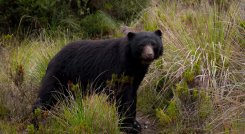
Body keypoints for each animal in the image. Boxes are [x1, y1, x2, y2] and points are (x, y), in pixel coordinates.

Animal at [32, 29, 163, 133]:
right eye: (141, 45)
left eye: (153, 44)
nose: (149, 54)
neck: (134, 63)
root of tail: (53, 58)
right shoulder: (117, 69)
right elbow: (122, 96)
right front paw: (128, 126)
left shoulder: (136, 75)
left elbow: (132, 94)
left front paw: (135, 124)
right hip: (59, 75)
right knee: (47, 96)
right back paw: (35, 123)